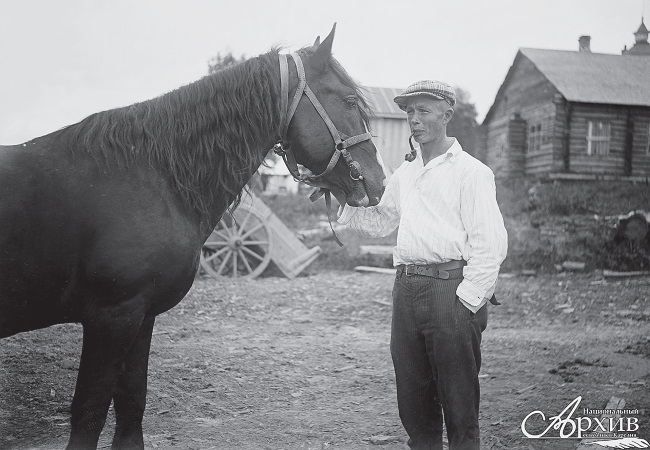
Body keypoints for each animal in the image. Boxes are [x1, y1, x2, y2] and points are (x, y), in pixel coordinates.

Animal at [0, 25, 382, 450]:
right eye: (349, 100)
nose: (379, 182)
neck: (149, 175)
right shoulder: (111, 318)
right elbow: (89, 412)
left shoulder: (140, 316)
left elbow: (132, 401)